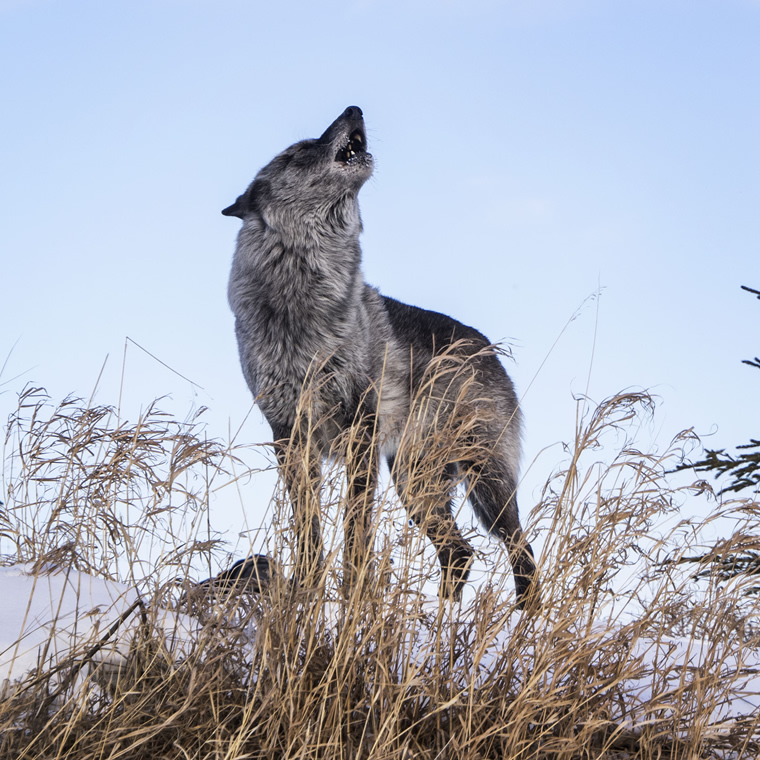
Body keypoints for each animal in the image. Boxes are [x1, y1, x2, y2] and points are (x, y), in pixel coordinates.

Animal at [223, 105, 536, 604]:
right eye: (299, 151)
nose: (354, 109)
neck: (301, 293)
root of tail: (485, 346)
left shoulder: (361, 430)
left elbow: (356, 526)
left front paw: (353, 589)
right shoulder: (289, 437)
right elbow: (307, 528)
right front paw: (308, 587)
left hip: (483, 483)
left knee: (520, 551)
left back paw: (523, 616)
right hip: (416, 482)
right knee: (460, 554)